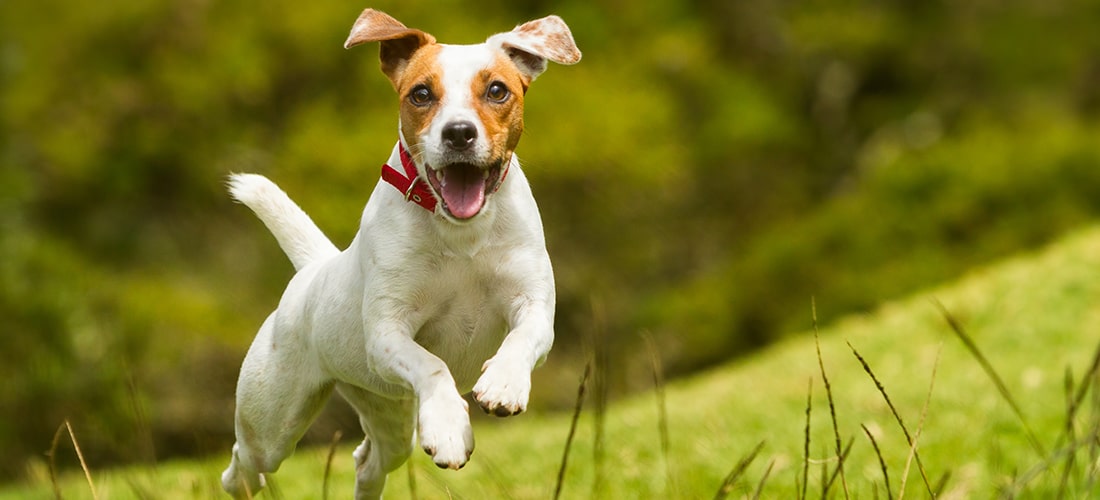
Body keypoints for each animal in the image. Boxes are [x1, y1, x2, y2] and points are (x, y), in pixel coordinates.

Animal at [217, 7, 580, 500]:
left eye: (497, 90)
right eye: (421, 94)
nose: (459, 133)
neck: (461, 234)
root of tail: (313, 269)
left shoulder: (534, 305)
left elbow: (521, 338)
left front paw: (503, 383)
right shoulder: (388, 333)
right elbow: (432, 366)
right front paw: (448, 427)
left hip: (387, 412)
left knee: (367, 460)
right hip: (272, 422)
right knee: (243, 465)